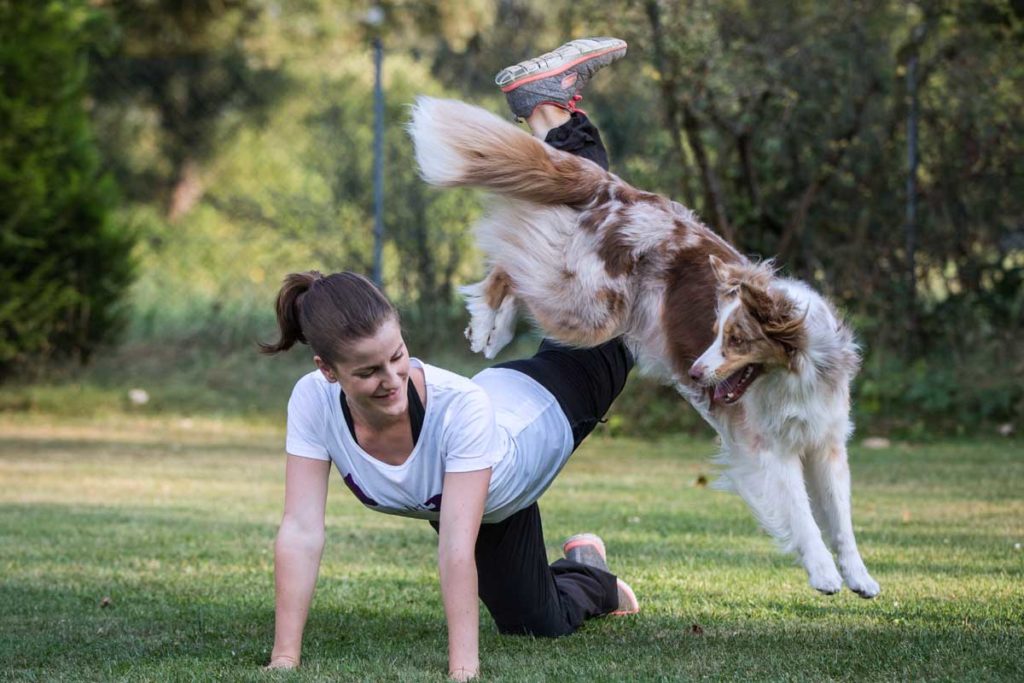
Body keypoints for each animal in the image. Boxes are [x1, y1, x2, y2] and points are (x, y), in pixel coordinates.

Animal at [407, 96, 880, 598]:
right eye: (715, 332)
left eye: (735, 339)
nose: (694, 373)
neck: (798, 373)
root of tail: (620, 191)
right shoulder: (769, 449)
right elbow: (804, 515)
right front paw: (823, 572)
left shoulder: (826, 443)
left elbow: (841, 520)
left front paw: (859, 576)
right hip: (589, 308)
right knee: (513, 262)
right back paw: (486, 323)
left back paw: (491, 326)